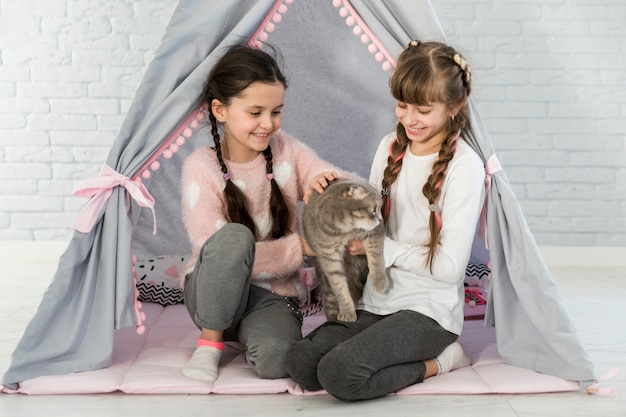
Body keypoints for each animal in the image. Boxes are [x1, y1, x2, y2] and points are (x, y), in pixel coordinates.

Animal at [302, 177, 386, 320]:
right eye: (374, 209)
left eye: (381, 208)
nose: (381, 220)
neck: (344, 230)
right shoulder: (329, 258)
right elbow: (340, 289)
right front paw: (347, 312)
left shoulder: (374, 233)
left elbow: (375, 259)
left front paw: (379, 282)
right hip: (326, 287)